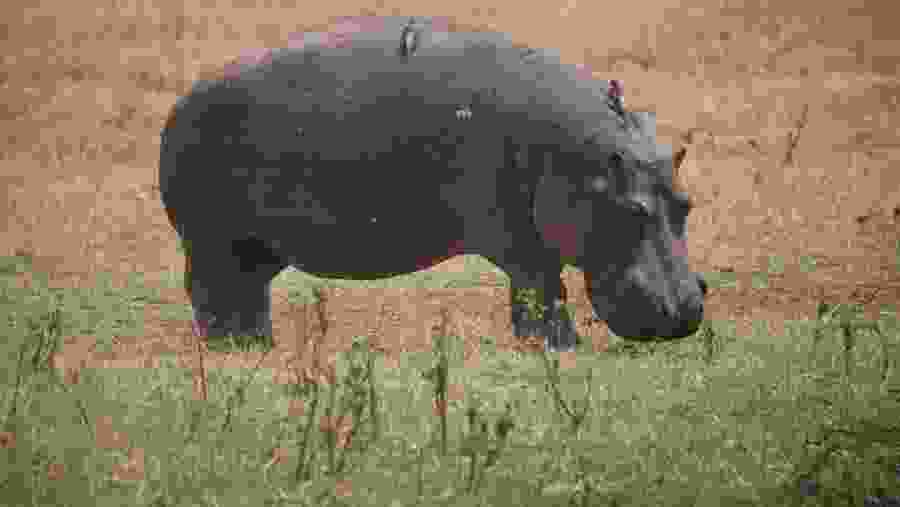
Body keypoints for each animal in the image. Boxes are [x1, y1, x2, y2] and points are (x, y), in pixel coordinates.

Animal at [159, 15, 707, 352]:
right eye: (631, 210)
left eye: (687, 205)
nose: (684, 313)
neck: (585, 154)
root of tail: (178, 105)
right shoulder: (520, 239)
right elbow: (542, 291)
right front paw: (559, 348)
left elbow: (539, 292)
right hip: (211, 244)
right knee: (211, 294)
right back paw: (232, 347)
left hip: (252, 250)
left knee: (245, 294)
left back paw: (256, 343)